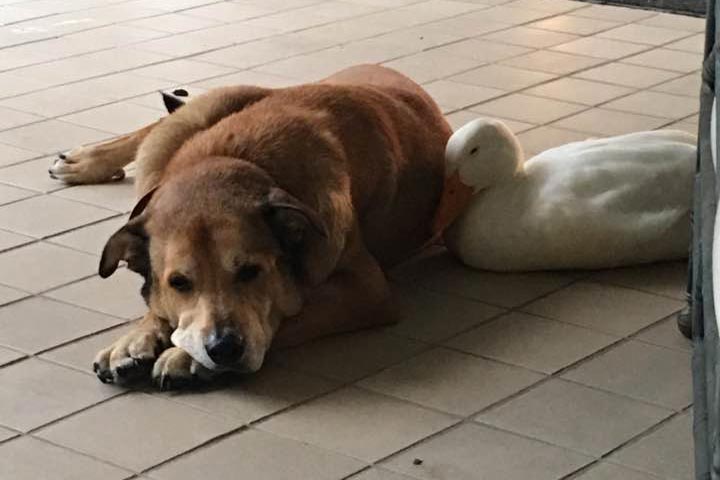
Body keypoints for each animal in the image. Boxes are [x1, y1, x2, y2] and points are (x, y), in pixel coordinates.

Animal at [52, 63, 450, 388]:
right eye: (179, 282)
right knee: (160, 124)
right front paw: (137, 337)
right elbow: (157, 300)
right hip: (197, 117)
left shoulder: (365, 289)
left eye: (251, 271)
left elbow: (290, 316)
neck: (236, 159)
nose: (224, 348)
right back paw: (86, 160)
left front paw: (184, 356)